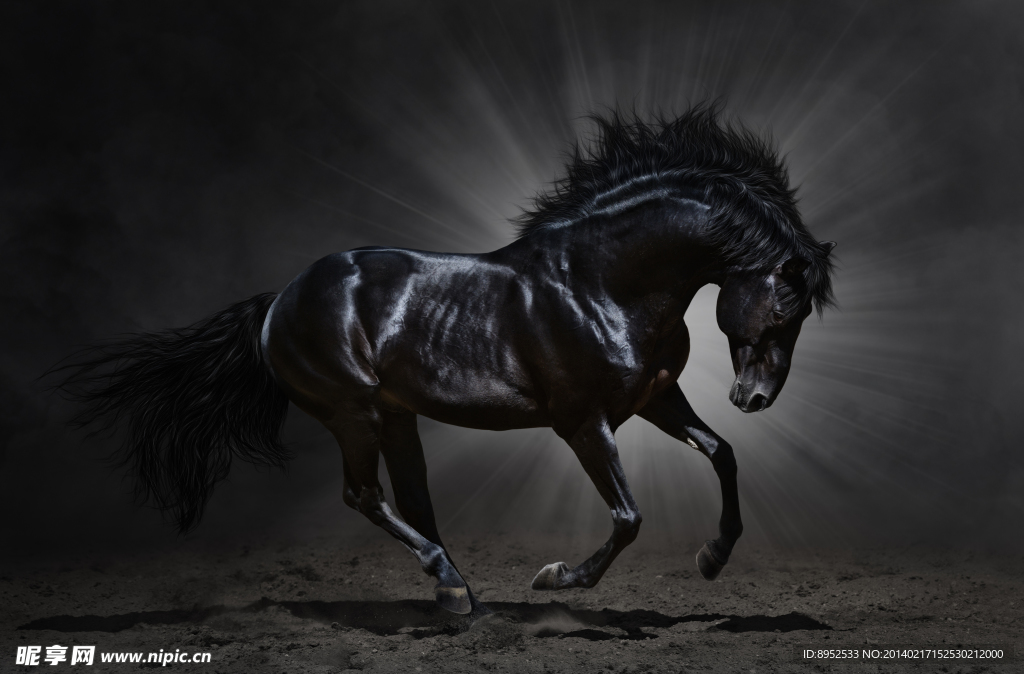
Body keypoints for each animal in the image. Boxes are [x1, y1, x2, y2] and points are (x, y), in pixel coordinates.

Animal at [60, 104, 836, 617]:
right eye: (784, 308)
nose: (755, 398)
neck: (600, 284)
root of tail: (279, 299)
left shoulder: (654, 399)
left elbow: (722, 453)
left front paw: (712, 558)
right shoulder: (584, 422)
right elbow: (628, 517)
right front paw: (556, 578)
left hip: (394, 416)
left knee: (413, 500)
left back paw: (458, 593)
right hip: (353, 412)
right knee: (365, 496)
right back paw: (453, 587)